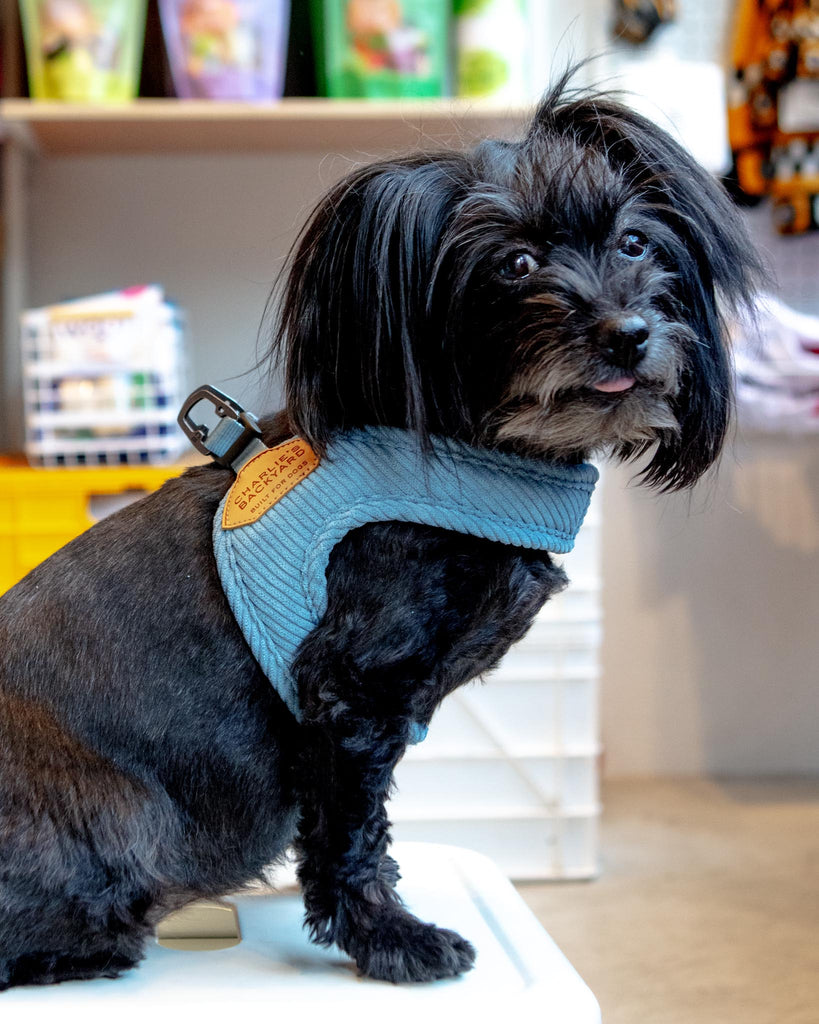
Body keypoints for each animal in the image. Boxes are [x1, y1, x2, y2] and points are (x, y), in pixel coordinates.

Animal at [0, 75, 757, 987]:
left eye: (635, 243)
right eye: (515, 263)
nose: (627, 333)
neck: (489, 451)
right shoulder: (349, 693)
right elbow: (350, 836)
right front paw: (393, 938)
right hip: (121, 825)